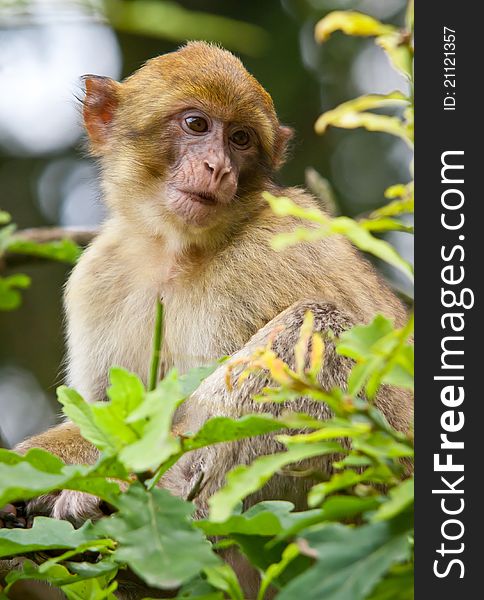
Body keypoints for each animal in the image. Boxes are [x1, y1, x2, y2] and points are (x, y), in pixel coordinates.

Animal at [3, 41, 412, 596]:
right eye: (196, 125)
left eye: (240, 139)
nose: (218, 166)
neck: (177, 251)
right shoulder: (97, 275)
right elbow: (108, 414)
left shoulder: (265, 260)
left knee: (316, 324)